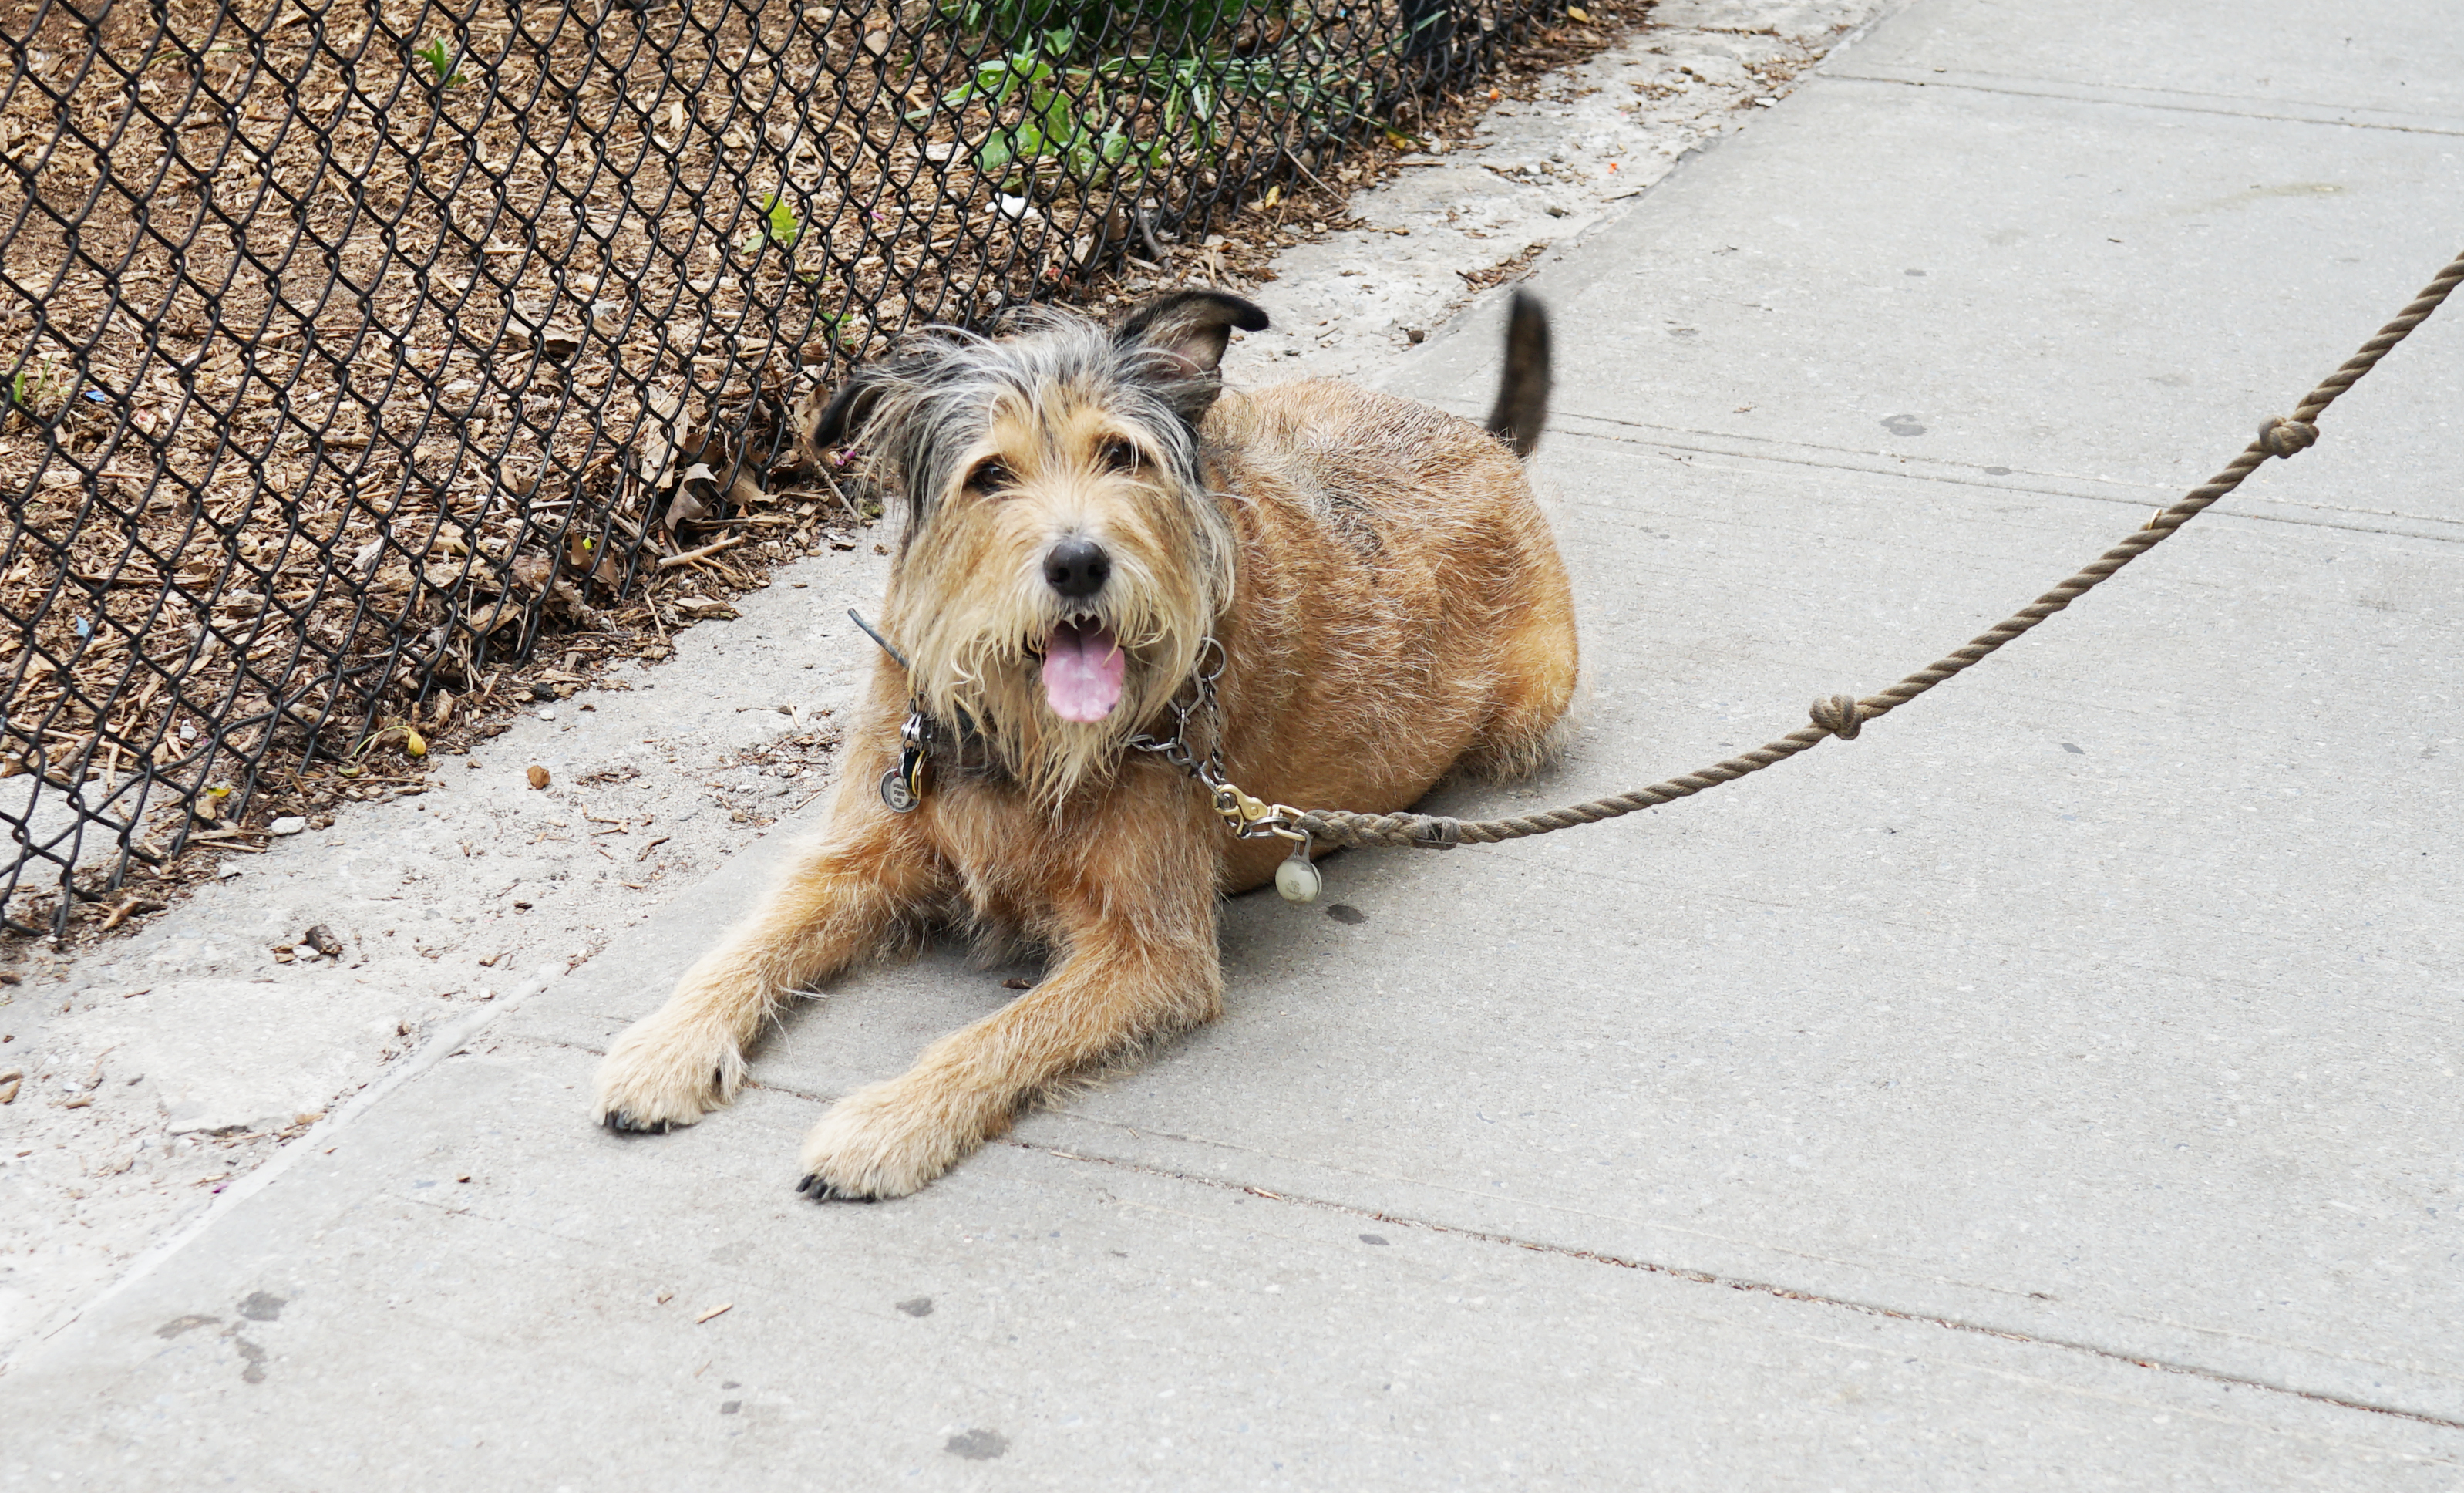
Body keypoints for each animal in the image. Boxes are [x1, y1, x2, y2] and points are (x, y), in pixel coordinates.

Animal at [606, 289, 1587, 1207]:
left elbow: (1002, 1033)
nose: (1078, 563)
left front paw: (887, 1123)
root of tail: (1487, 442)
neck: (1018, 732)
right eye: (989, 474)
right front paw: (666, 1046)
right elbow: (746, 945)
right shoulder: (861, 854)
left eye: (1120, 454)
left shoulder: (1150, 955)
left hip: (1532, 702)